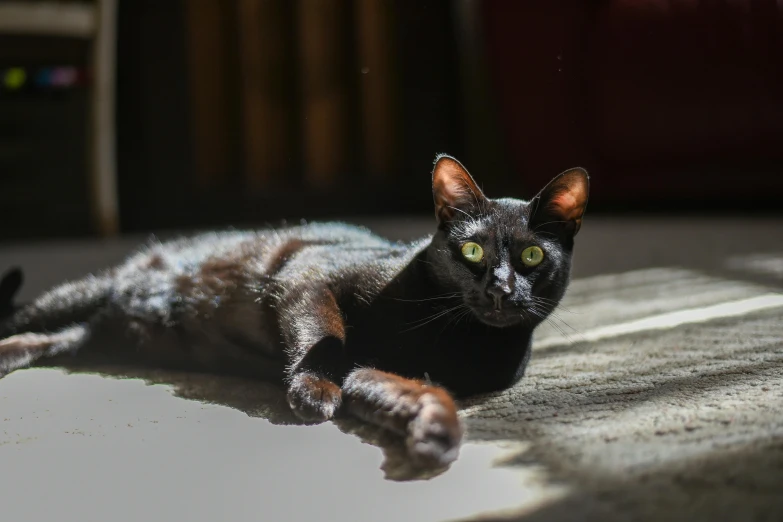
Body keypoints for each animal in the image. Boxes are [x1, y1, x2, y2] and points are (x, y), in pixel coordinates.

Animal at [0, 153, 588, 464]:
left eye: (532, 256)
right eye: (472, 252)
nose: (501, 288)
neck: (451, 335)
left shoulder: (376, 372)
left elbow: (411, 390)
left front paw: (434, 431)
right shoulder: (307, 275)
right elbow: (323, 333)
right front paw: (313, 391)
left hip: (93, 333)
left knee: (54, 341)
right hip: (81, 292)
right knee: (28, 317)